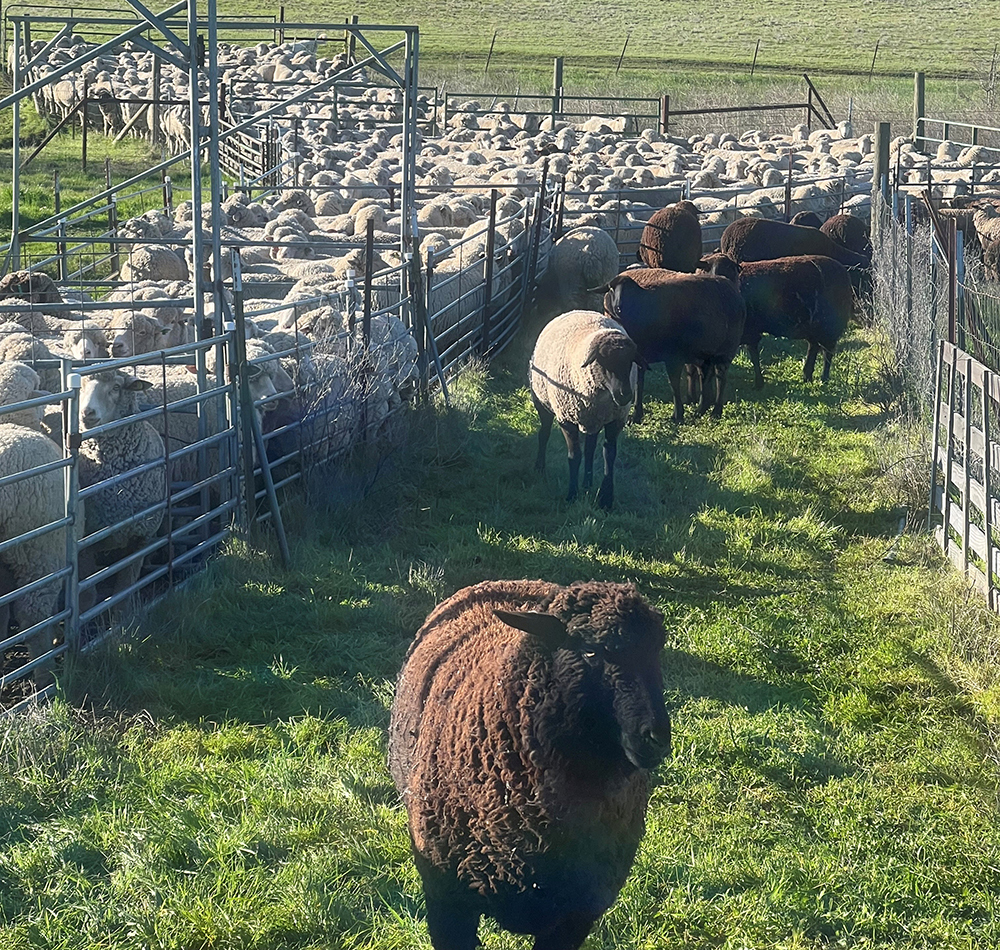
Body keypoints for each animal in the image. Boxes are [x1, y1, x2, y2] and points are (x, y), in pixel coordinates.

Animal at [77, 370, 166, 599]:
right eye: (80, 386)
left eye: (116, 387)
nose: (87, 412)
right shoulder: (84, 544)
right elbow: (88, 596)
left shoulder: (141, 537)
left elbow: (125, 592)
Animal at [388, 578, 671, 950]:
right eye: (591, 651)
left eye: (656, 651)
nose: (656, 738)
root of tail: (508, 580)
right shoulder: (446, 901)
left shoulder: (577, 914)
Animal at [529, 309, 640, 509]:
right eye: (603, 360)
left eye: (630, 362)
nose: (624, 395)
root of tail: (578, 310)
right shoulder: (566, 418)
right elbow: (574, 456)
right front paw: (572, 495)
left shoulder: (615, 419)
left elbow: (608, 455)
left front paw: (605, 498)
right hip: (542, 401)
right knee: (544, 433)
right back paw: (539, 467)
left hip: (592, 419)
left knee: (590, 448)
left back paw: (587, 483)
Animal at [600, 269, 746, 424]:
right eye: (611, 289)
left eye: (631, 291)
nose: (619, 307)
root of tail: (735, 292)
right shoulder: (640, 358)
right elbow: (639, 385)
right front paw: (636, 416)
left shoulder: (674, 357)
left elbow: (674, 385)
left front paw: (678, 416)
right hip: (705, 353)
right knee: (705, 377)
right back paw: (701, 409)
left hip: (726, 350)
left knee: (720, 379)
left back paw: (716, 412)